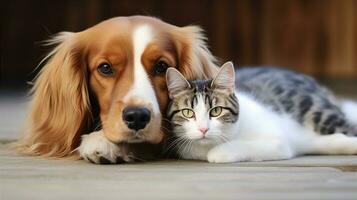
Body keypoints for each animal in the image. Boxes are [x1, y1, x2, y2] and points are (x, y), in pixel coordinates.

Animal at [164, 62, 356, 162]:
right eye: (188, 113)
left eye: (216, 111)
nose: (203, 129)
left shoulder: (277, 142)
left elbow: (218, 153)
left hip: (318, 112)